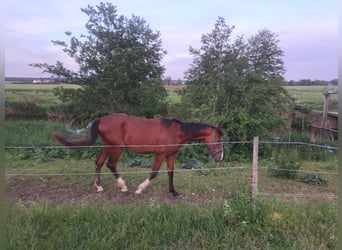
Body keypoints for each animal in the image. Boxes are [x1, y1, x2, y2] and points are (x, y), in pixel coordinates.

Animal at [48, 113, 224, 195]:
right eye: (218, 139)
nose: (220, 157)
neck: (176, 132)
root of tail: (101, 119)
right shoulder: (160, 155)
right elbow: (154, 173)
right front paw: (140, 189)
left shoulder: (171, 156)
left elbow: (171, 173)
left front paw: (173, 192)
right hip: (117, 148)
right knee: (110, 164)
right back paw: (123, 186)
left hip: (107, 146)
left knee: (99, 162)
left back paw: (98, 187)